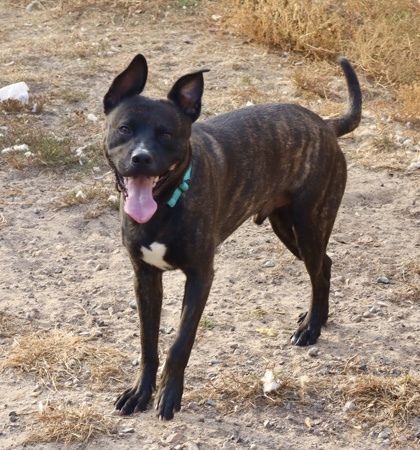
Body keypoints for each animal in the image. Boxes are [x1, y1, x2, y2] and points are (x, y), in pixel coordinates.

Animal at [101, 54, 360, 420]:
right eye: (124, 128)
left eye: (167, 134)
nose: (141, 158)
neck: (165, 205)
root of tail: (324, 124)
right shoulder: (145, 278)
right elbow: (147, 344)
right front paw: (140, 392)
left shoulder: (200, 277)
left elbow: (179, 344)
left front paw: (169, 396)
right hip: (288, 230)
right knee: (326, 262)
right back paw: (316, 318)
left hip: (308, 226)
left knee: (320, 269)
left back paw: (310, 328)